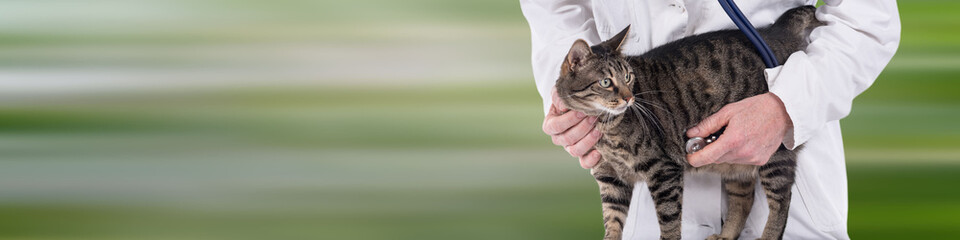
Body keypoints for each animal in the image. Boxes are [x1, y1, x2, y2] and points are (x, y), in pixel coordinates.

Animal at [556, 5, 824, 240]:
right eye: (605, 82)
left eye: (628, 77)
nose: (629, 97)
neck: (605, 128)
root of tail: (778, 30)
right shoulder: (609, 177)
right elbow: (612, 220)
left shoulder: (663, 170)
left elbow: (669, 221)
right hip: (737, 156)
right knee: (743, 198)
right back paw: (726, 235)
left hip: (774, 147)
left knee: (781, 201)